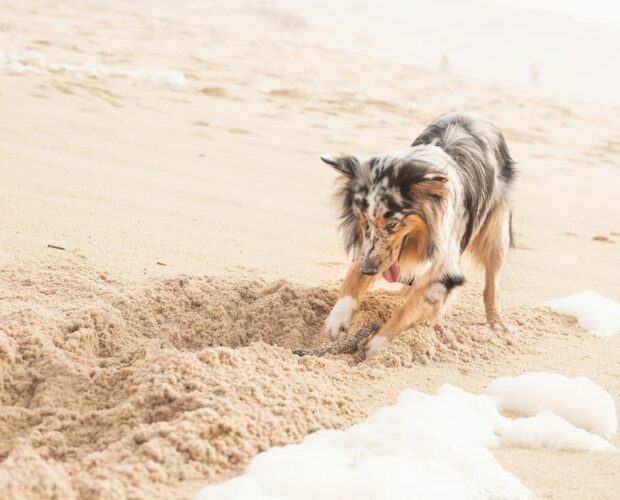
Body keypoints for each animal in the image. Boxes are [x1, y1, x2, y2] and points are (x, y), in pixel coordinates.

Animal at [322, 112, 516, 358]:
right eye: (363, 221)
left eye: (393, 224)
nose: (370, 270)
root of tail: (475, 115)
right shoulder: (367, 250)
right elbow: (353, 277)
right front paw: (337, 319)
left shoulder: (445, 268)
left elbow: (407, 309)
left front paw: (378, 343)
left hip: (496, 233)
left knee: (492, 283)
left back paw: (496, 323)